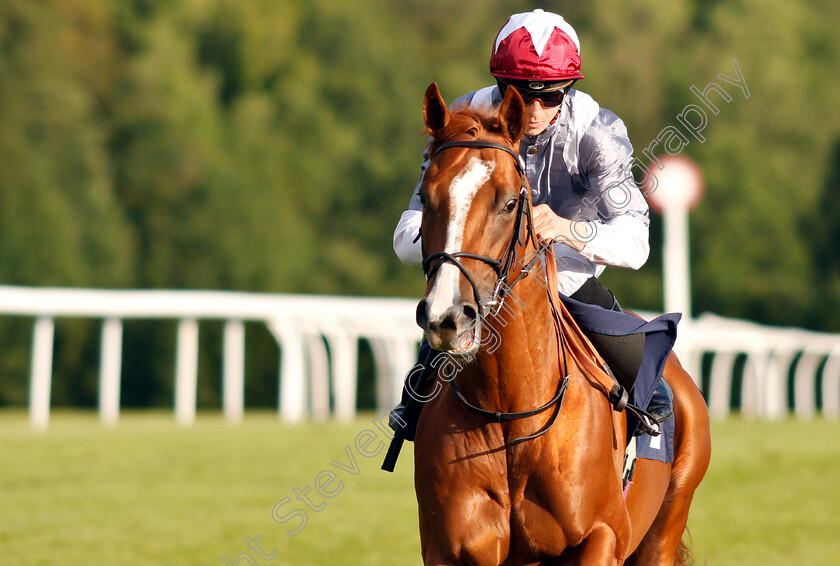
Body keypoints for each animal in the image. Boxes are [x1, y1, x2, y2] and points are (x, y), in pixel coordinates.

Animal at [410, 83, 712, 566]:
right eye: (425, 198)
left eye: (510, 202)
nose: (447, 317)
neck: (509, 413)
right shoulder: (448, 548)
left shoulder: (603, 535)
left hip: (664, 526)